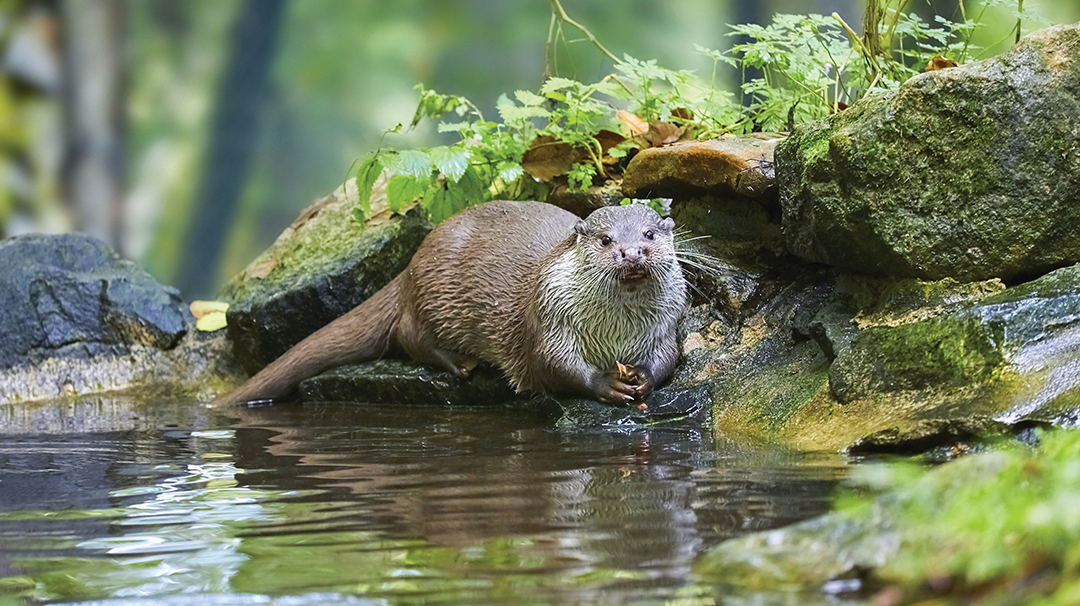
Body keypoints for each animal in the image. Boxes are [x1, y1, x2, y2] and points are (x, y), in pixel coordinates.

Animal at [216, 200, 687, 405]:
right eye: (606, 240)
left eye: (648, 234)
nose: (631, 252)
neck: (613, 332)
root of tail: (410, 264)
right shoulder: (550, 318)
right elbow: (554, 366)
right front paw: (607, 383)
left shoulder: (664, 327)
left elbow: (668, 358)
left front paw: (641, 378)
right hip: (437, 295)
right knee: (408, 333)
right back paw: (459, 363)